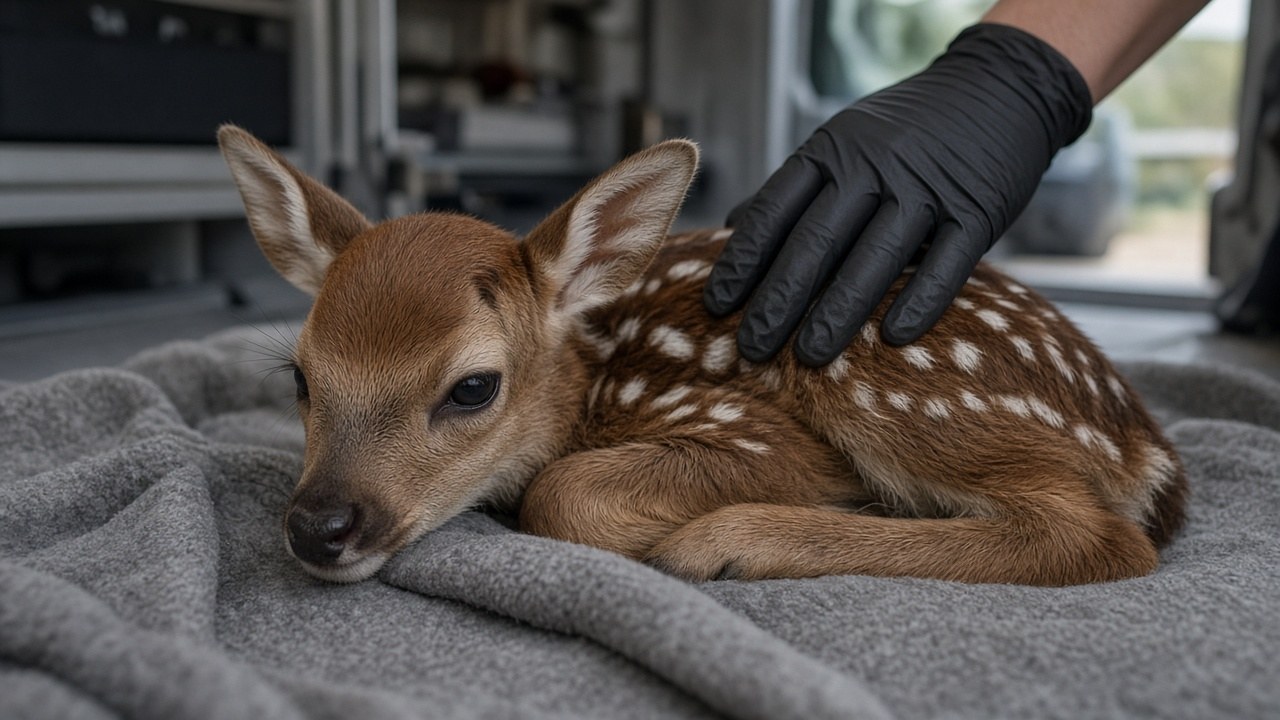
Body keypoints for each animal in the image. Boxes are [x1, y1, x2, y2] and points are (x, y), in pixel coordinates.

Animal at [217, 125, 1187, 587]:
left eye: (473, 388)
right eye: (299, 377)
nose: (319, 527)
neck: (597, 382)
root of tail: (1144, 445)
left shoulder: (757, 431)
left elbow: (562, 491)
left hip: (878, 372)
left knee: (1095, 535)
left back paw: (729, 543)